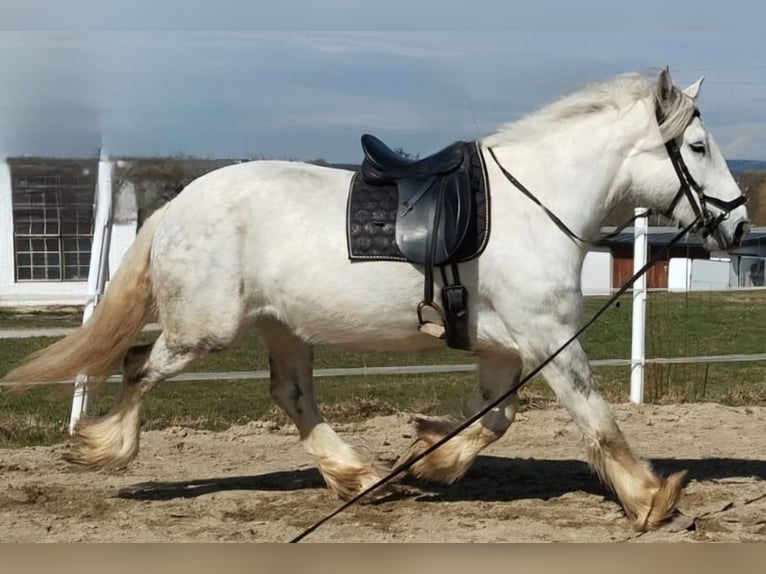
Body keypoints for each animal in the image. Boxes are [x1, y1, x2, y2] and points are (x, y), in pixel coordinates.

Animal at [3, 68, 749, 531]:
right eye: (698, 145)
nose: (739, 225)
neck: (534, 207)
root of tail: (176, 207)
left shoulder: (509, 348)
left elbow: (494, 418)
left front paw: (431, 458)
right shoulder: (549, 338)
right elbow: (597, 421)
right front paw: (652, 501)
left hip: (280, 327)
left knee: (290, 395)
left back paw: (360, 478)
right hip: (204, 331)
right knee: (139, 367)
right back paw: (102, 448)